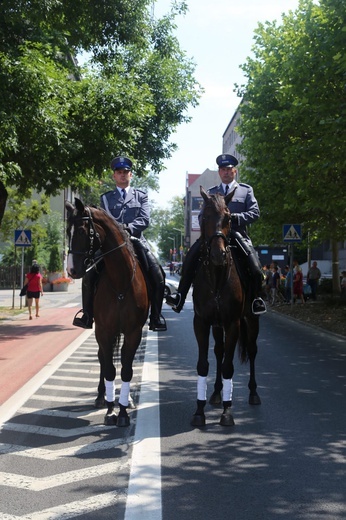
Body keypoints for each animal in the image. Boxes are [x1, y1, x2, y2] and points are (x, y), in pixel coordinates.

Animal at [65, 199, 149, 426]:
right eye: (67, 232)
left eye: (82, 231)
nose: (71, 271)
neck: (120, 280)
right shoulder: (103, 330)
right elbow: (110, 367)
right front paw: (111, 410)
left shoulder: (133, 332)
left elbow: (127, 369)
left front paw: (123, 411)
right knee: (103, 357)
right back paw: (101, 397)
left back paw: (127, 400)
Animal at [191, 187, 260, 426]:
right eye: (204, 217)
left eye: (229, 218)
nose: (218, 254)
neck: (218, 277)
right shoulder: (202, 323)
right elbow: (204, 364)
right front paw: (199, 411)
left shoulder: (232, 324)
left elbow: (229, 366)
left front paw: (227, 412)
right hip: (217, 325)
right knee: (219, 352)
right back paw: (215, 392)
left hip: (251, 320)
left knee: (252, 350)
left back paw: (253, 393)